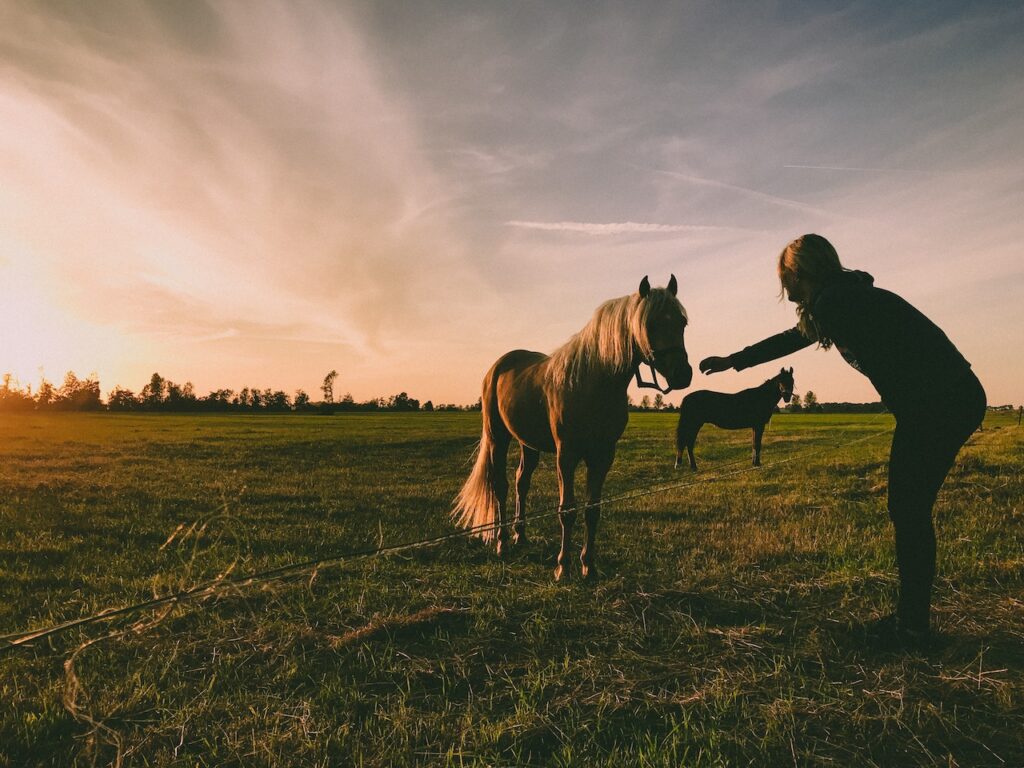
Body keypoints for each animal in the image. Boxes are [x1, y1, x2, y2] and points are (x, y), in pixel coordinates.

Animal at [452, 274, 692, 581]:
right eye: (650, 323)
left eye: (682, 322)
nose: (683, 374)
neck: (593, 382)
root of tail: (498, 366)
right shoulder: (566, 454)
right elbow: (567, 510)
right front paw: (563, 567)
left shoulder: (603, 455)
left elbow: (592, 510)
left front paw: (589, 566)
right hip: (497, 437)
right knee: (501, 485)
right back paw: (503, 543)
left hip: (527, 444)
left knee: (521, 482)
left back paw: (521, 536)